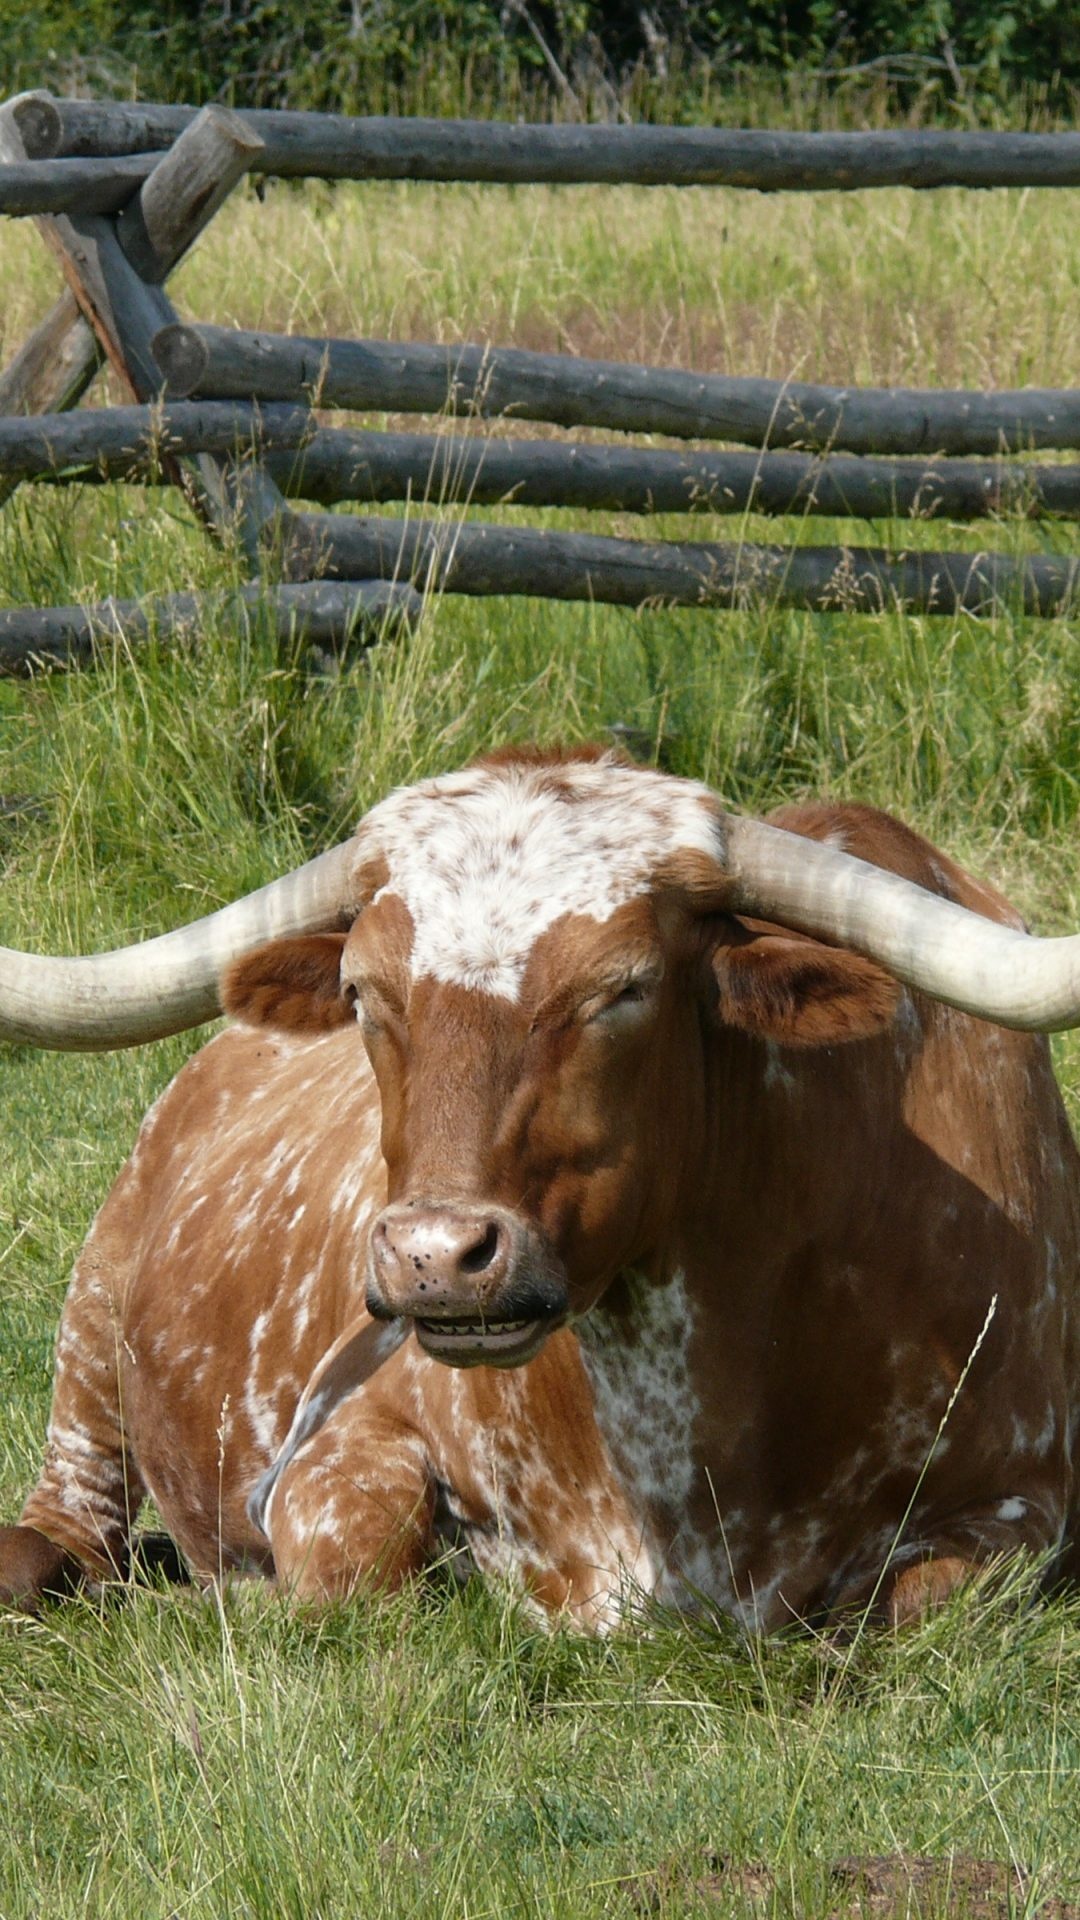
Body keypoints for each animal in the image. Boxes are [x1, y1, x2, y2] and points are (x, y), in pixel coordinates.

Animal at [2, 741, 1076, 1628]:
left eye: (625, 987)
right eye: (362, 990)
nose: (436, 1257)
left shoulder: (1027, 1507)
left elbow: (917, 1602)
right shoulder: (339, 1449)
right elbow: (355, 1578)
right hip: (92, 1326)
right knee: (64, 1526)